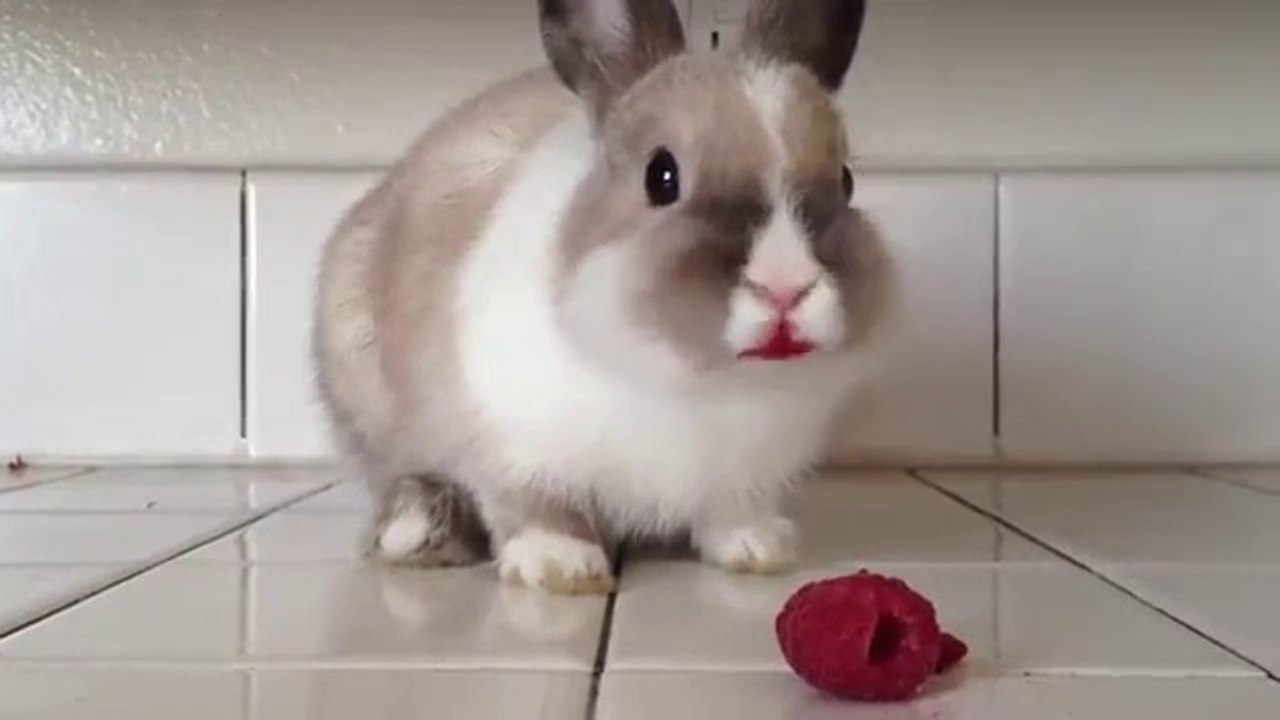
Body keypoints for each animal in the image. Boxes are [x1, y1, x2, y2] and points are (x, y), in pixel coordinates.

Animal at [312, 0, 891, 595]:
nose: (785, 287)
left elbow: (733, 511)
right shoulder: (512, 444)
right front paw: (560, 565)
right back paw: (418, 531)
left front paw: (758, 549)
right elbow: (537, 506)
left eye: (845, 181)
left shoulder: (745, 473)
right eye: (661, 176)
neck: (685, 379)